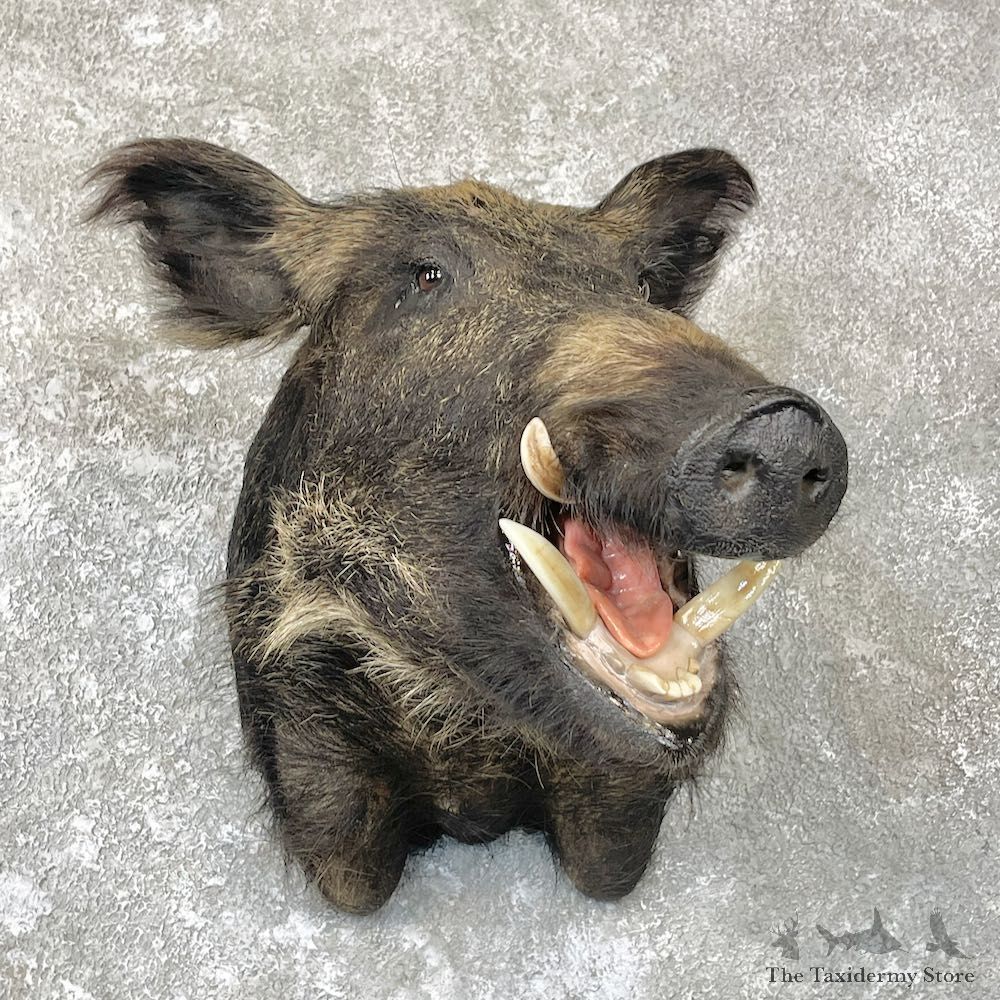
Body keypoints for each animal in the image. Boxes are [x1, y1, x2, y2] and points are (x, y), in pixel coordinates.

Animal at [87, 139, 848, 913]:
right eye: (427, 276)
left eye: (639, 283)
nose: (785, 428)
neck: (469, 742)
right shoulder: (300, 731)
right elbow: (356, 885)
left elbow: (606, 872)